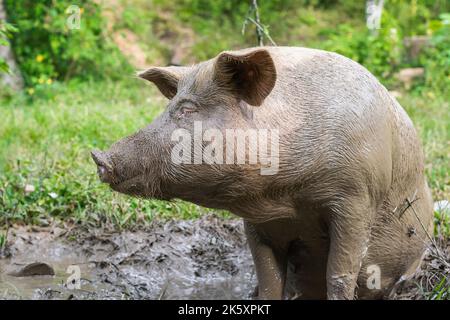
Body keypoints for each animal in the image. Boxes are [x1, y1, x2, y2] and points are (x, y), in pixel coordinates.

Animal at [91, 47, 432, 300]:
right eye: (169, 106)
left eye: (187, 109)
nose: (100, 157)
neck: (287, 198)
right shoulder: (259, 223)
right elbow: (268, 277)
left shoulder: (356, 198)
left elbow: (339, 274)